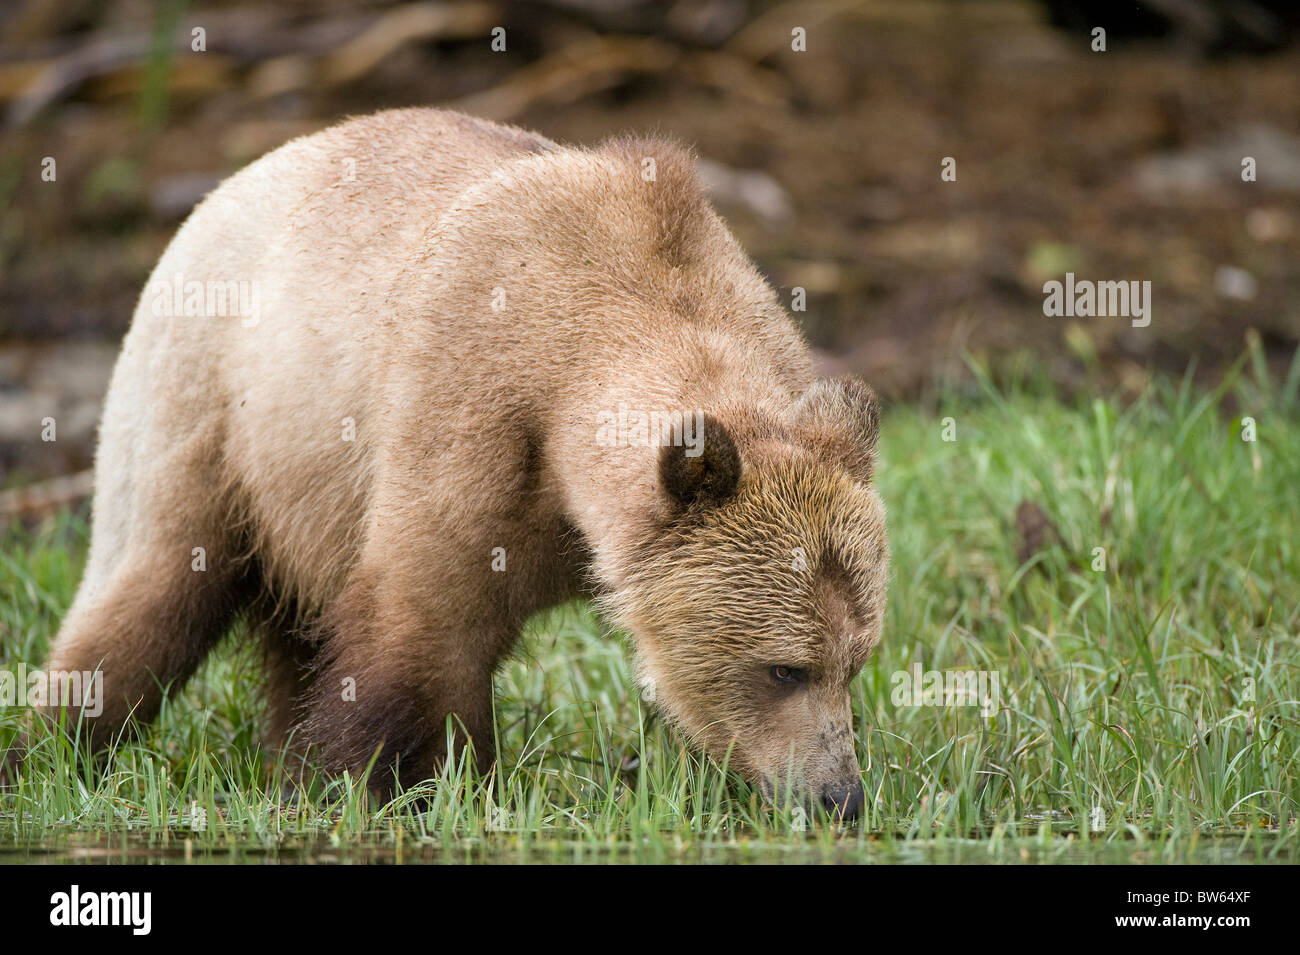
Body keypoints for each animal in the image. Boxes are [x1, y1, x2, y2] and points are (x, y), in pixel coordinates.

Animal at [45, 108, 889, 815]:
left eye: (855, 661)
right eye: (784, 667)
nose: (840, 795)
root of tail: (230, 181)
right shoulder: (471, 406)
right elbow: (427, 624)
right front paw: (412, 785)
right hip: (215, 404)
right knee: (148, 589)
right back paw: (56, 749)